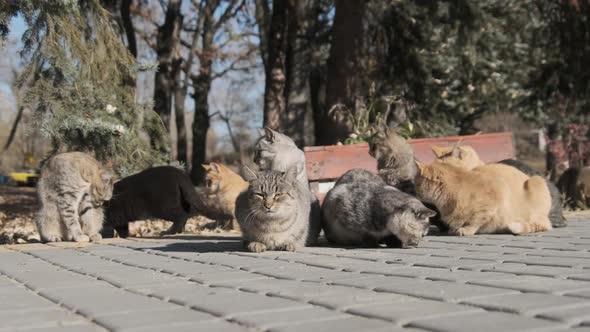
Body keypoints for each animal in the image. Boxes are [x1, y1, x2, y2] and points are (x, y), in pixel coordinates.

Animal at [416, 161, 556, 236]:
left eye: (416, 183)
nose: (414, 190)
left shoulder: (498, 192)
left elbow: (475, 219)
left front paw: (466, 229)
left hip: (537, 182)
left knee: (543, 225)